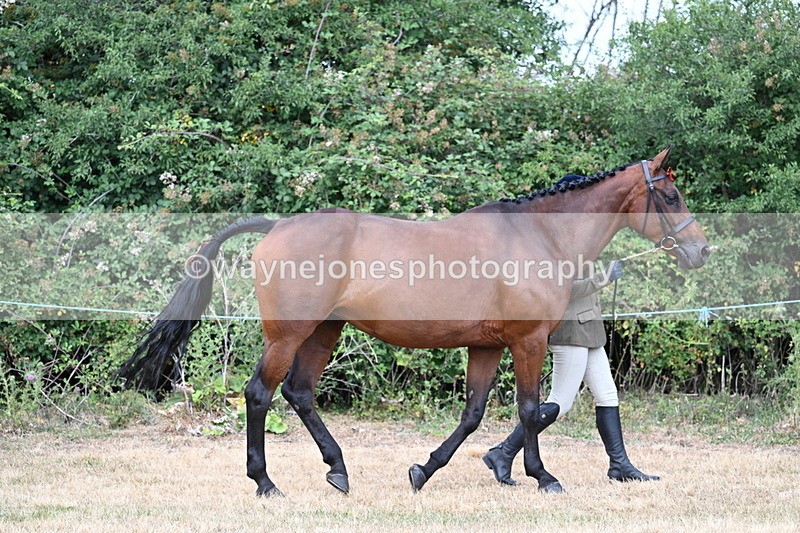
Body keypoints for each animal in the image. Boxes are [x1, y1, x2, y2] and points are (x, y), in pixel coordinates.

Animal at [120, 146, 711, 496]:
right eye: (671, 193)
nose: (702, 251)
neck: (539, 235)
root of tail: (278, 227)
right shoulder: (528, 341)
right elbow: (530, 409)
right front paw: (542, 476)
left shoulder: (486, 346)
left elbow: (475, 413)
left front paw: (427, 471)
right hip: (289, 335)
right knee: (260, 393)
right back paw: (265, 482)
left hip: (325, 331)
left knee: (300, 393)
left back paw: (338, 470)